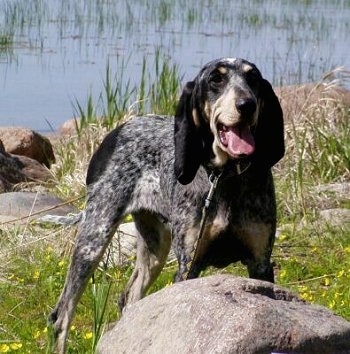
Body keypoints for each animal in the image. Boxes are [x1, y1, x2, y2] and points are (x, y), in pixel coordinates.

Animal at [47, 58, 284, 352]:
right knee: (62, 315)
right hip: (94, 238)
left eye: (253, 79)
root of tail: (117, 130)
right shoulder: (189, 265)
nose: (246, 104)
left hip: (155, 247)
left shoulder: (260, 263)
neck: (224, 177)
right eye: (215, 80)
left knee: (129, 298)